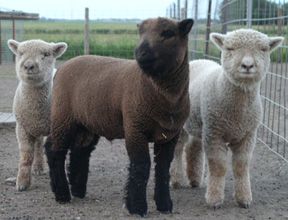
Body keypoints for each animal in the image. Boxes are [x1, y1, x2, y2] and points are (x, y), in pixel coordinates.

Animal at [7, 39, 67, 191]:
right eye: (21, 53)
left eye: (46, 54)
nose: (28, 65)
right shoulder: (22, 127)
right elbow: (26, 155)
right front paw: (22, 183)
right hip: (36, 128)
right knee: (39, 145)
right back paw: (38, 168)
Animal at [44, 17, 194, 217]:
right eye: (140, 32)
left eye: (168, 33)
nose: (140, 53)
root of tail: (63, 67)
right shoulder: (135, 127)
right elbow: (141, 166)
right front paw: (137, 207)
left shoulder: (170, 135)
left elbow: (163, 169)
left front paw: (164, 205)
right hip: (63, 115)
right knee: (54, 150)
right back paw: (62, 194)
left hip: (87, 122)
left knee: (80, 151)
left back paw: (78, 190)